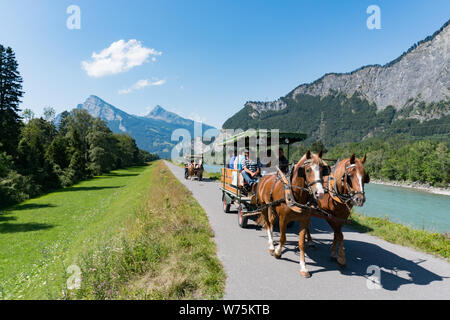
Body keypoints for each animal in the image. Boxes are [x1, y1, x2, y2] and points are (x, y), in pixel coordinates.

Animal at [256, 150, 326, 278]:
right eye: (308, 170)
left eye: (323, 169)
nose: (320, 193)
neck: (296, 194)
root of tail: (264, 177)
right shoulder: (283, 218)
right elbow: (283, 238)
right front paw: (278, 252)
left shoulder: (304, 219)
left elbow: (301, 243)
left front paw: (303, 267)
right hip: (263, 205)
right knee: (267, 224)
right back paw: (271, 245)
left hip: (272, 207)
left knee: (271, 221)